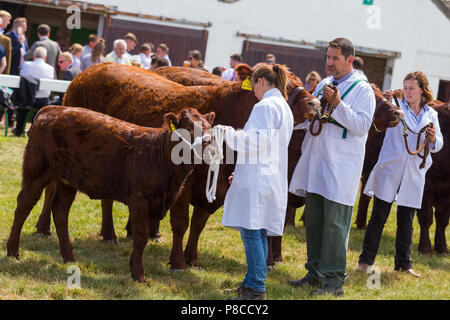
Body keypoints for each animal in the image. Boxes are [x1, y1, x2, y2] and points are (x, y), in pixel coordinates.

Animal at [7, 106, 214, 282]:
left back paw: (69, 257)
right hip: (36, 171)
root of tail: (52, 109)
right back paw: (12, 252)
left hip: (67, 181)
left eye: (210, 129)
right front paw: (139, 275)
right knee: (23, 205)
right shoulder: (139, 200)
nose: (209, 145)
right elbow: (141, 237)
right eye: (188, 128)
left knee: (60, 212)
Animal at [35, 62, 322, 270]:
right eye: (286, 88)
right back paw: (44, 228)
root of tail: (91, 70)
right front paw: (177, 262)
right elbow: (182, 223)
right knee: (51, 190)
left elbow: (198, 224)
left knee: (105, 199)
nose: (315, 103)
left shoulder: (214, 187)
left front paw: (192, 258)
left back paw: (111, 233)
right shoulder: (185, 184)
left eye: (301, 84)